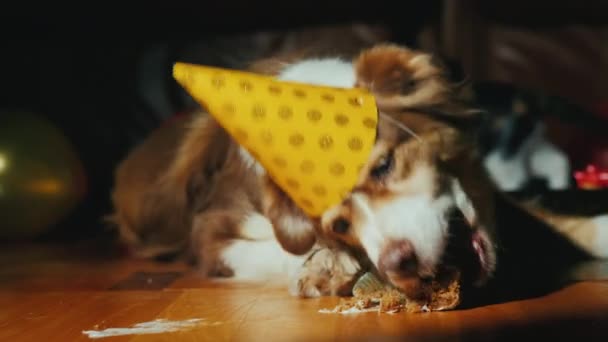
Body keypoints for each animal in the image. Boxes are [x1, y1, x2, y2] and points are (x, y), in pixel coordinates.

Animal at [109, 44, 608, 314]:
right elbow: (272, 251)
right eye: (340, 225)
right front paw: (326, 266)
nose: (399, 262)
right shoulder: (211, 232)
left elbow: (560, 219)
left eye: (384, 166)